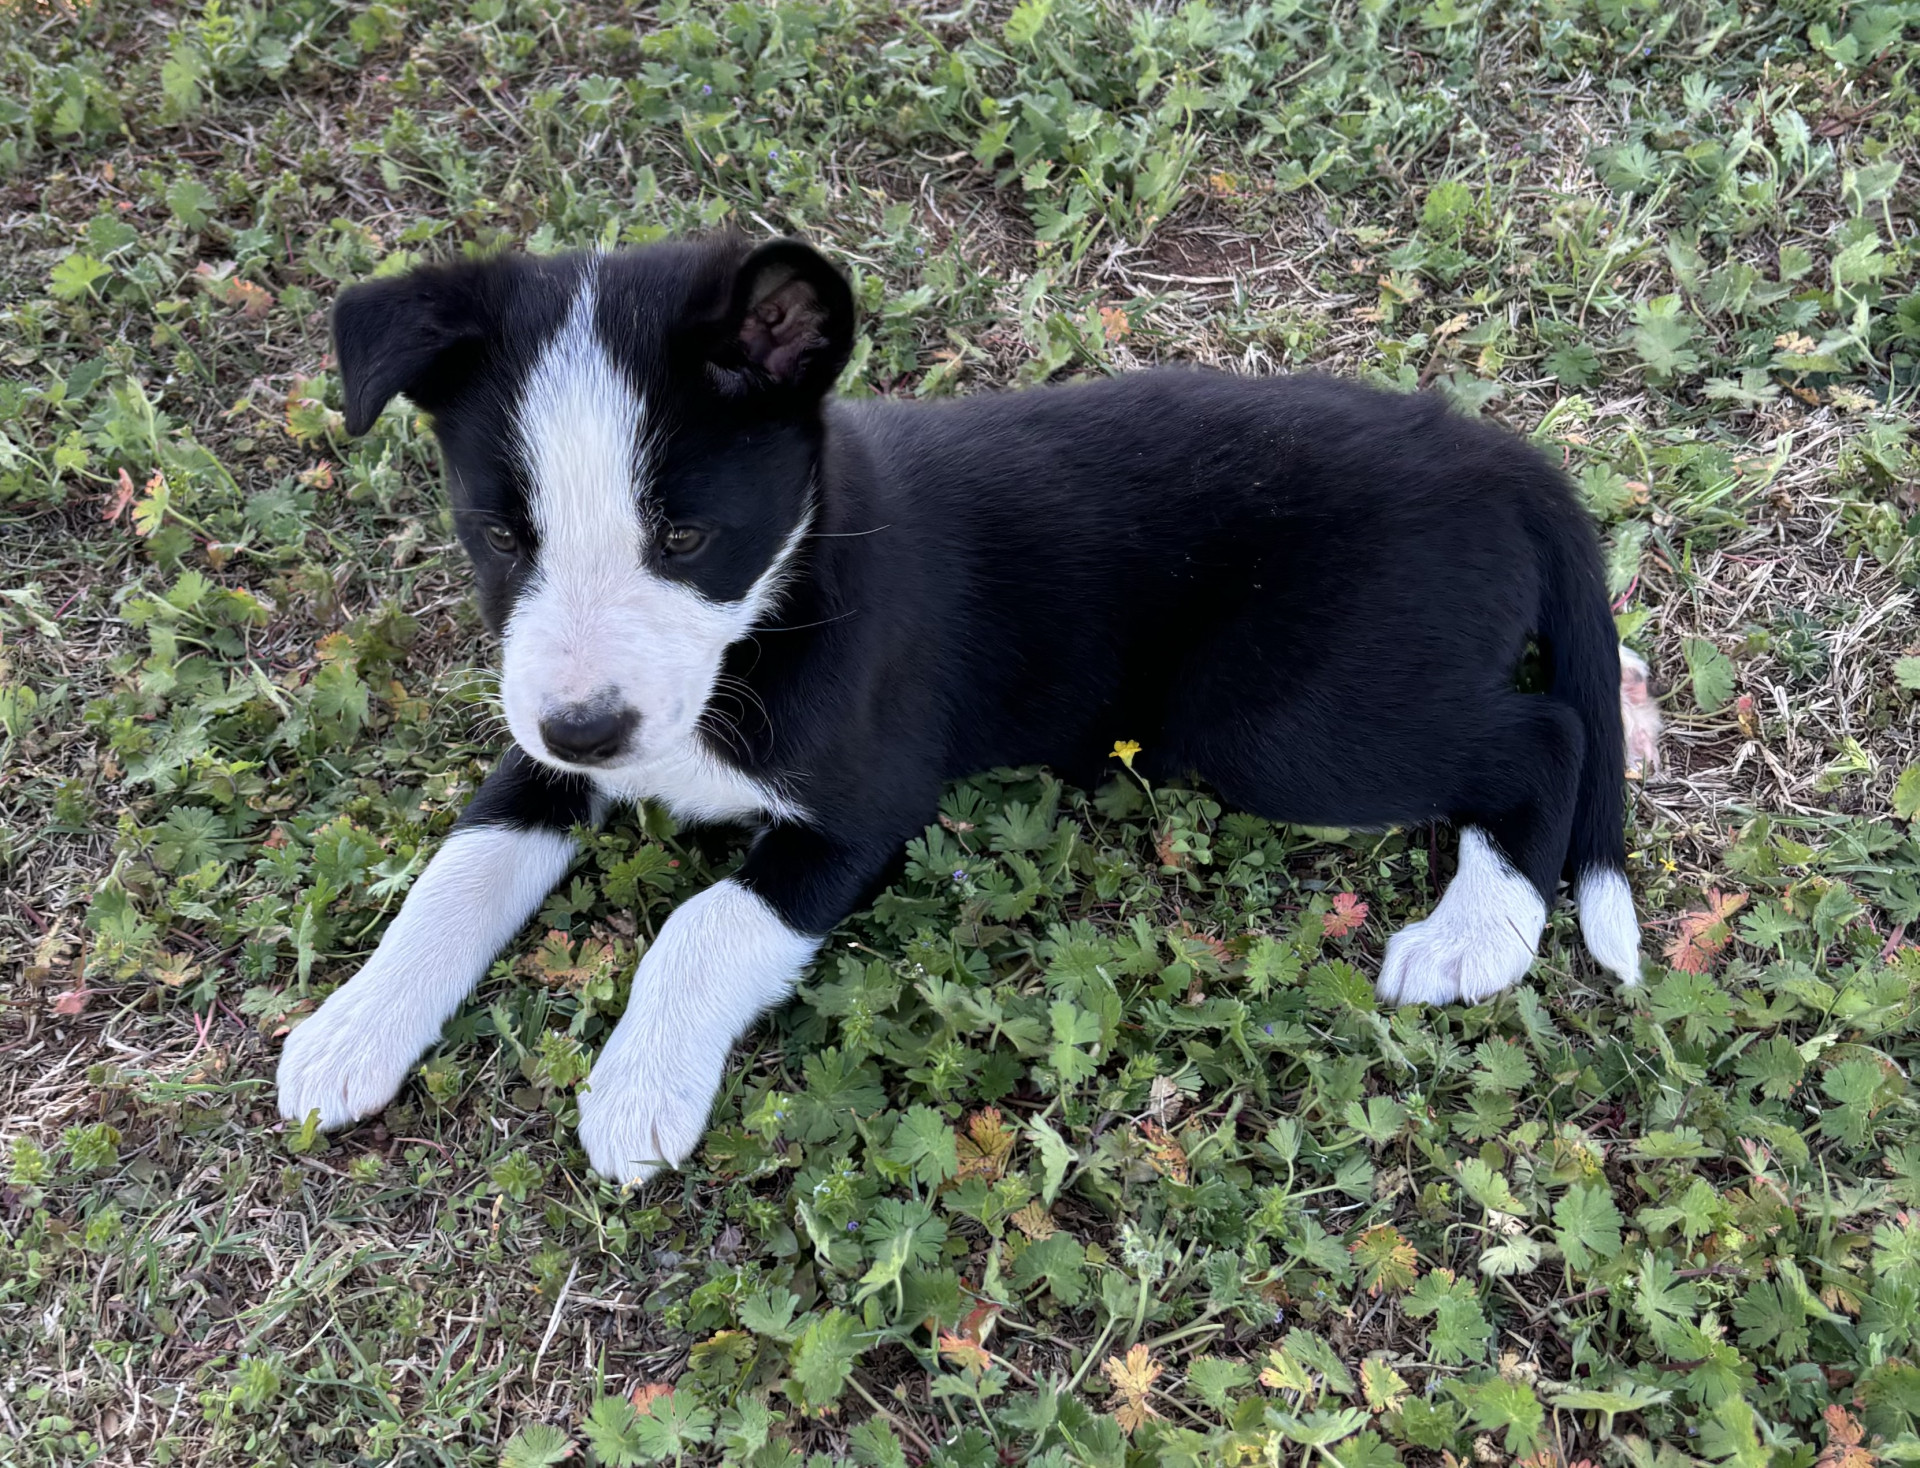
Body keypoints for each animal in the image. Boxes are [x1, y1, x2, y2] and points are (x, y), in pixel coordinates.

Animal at [278, 235, 1658, 1182]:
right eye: (501, 536)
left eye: (685, 536)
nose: (588, 730)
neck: (774, 610)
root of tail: (1498, 457)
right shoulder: (541, 752)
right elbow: (459, 869)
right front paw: (351, 1030)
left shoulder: (862, 809)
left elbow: (703, 924)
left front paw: (640, 1086)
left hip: (1279, 724)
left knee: (1547, 736)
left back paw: (1478, 936)